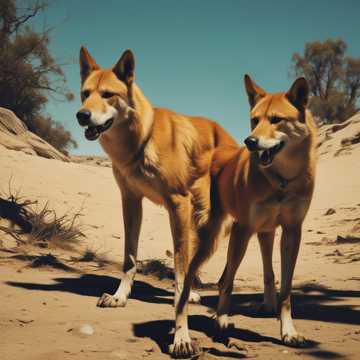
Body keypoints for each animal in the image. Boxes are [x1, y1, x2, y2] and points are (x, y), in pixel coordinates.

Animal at [76, 47, 236, 310]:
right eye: (85, 94)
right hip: (197, 224)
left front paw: (179, 301)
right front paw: (120, 296)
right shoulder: (131, 201)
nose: (81, 115)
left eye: (108, 95)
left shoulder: (178, 202)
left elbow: (180, 263)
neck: (142, 139)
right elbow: (130, 259)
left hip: (209, 224)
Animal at [173, 74, 316, 356]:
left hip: (255, 234)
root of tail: (214, 152)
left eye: (276, 119)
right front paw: (221, 323)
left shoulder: (291, 231)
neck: (282, 180)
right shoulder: (245, 228)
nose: (250, 141)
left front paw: (289, 332)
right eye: (254, 120)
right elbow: (228, 284)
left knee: (230, 276)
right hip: (215, 238)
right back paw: (187, 333)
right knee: (191, 284)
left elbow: (285, 291)